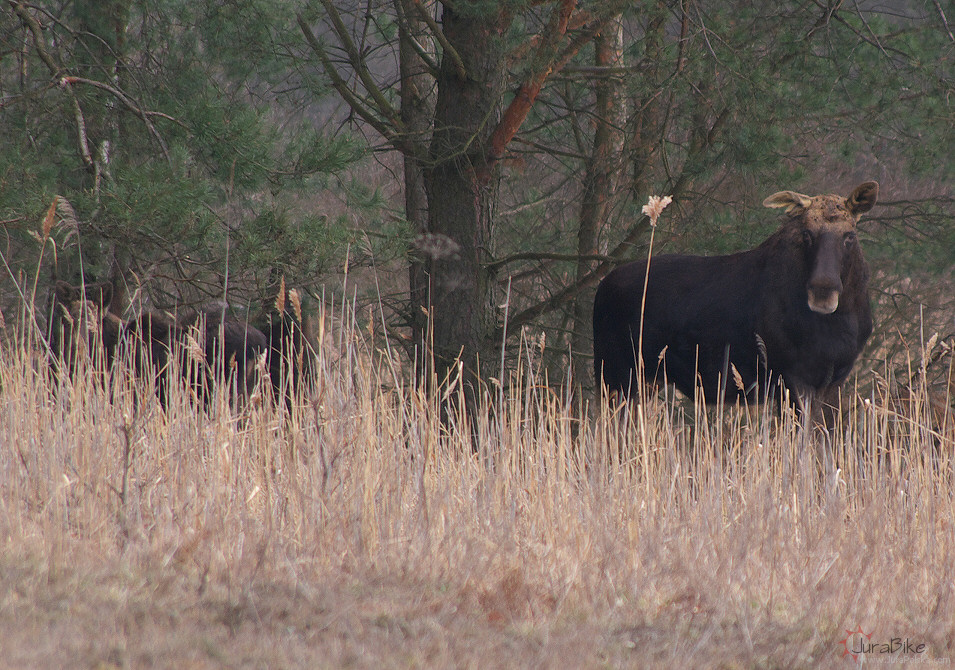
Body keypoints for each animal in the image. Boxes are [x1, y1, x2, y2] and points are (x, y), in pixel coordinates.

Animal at [592, 181, 876, 412]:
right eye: (806, 233)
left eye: (850, 235)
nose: (822, 289)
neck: (843, 322)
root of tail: (601, 288)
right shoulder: (792, 376)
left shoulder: (834, 381)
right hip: (616, 374)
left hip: (645, 379)